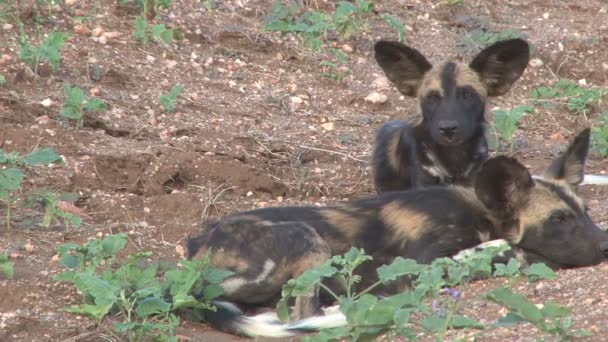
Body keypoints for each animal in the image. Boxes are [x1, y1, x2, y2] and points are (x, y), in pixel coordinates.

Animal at [186, 129, 608, 340]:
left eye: (585, 214)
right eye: (558, 220)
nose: (605, 244)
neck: (480, 214)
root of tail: (197, 256)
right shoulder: (419, 265)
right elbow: (502, 249)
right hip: (307, 238)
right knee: (306, 314)